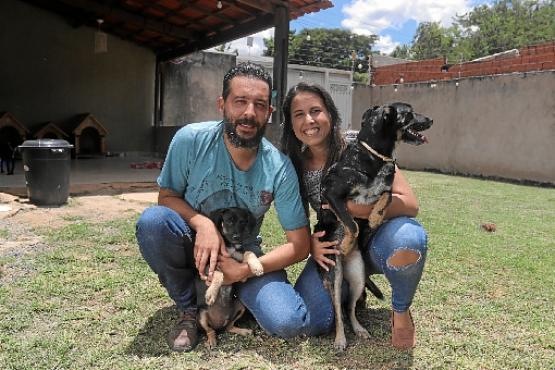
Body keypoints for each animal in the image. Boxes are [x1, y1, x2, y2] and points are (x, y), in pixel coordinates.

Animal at [195, 207, 264, 348]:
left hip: (240, 306)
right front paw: (211, 294)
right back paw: (212, 340)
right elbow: (219, 273)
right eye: (229, 221)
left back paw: (245, 331)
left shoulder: (240, 262)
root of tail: (219, 326)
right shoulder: (209, 265)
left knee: (229, 327)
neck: (231, 246)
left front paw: (257, 266)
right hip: (201, 314)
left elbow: (249, 253)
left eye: (243, 222)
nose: (236, 237)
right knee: (209, 330)